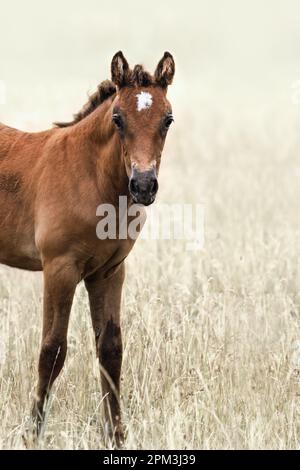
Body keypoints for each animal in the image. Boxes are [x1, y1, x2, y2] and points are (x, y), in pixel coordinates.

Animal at [0, 51, 176, 444]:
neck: (91, 176)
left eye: (168, 119)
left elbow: (110, 349)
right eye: (117, 118)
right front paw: (32, 432)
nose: (144, 185)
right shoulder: (59, 267)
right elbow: (52, 349)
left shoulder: (109, 271)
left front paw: (117, 434)